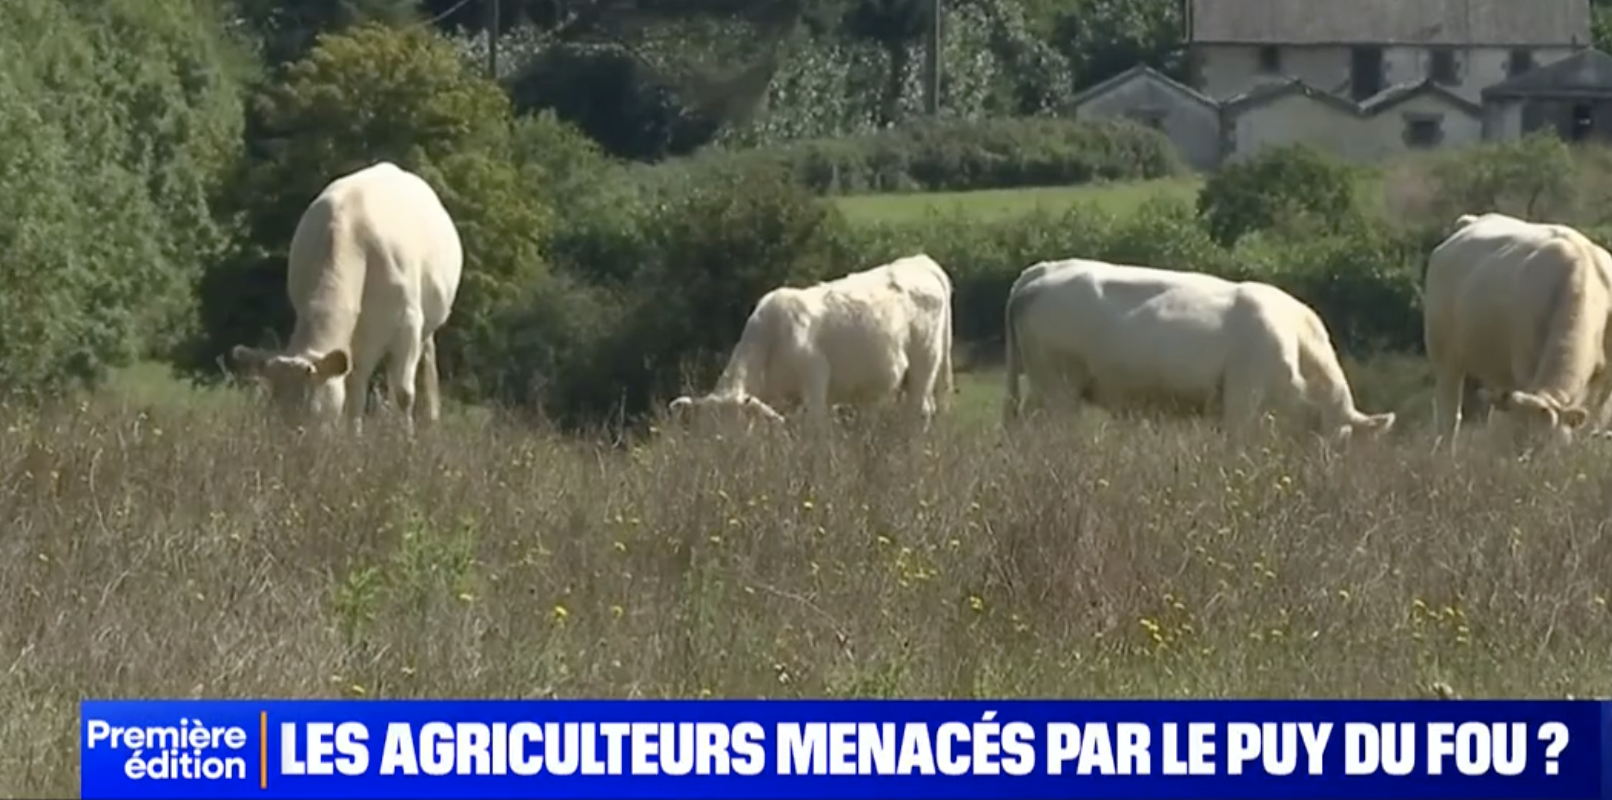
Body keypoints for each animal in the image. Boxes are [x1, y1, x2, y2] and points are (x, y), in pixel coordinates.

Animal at [230, 162, 464, 432]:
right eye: (274, 411)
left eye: (312, 411)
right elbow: (355, 396)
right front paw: (354, 438)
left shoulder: (408, 325)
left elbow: (404, 394)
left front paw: (405, 439)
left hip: (426, 325)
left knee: (422, 371)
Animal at [670, 254, 954, 432]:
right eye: (707, 433)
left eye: (740, 428)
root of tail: (920, 261)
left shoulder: (815, 385)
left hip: (925, 364)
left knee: (919, 412)